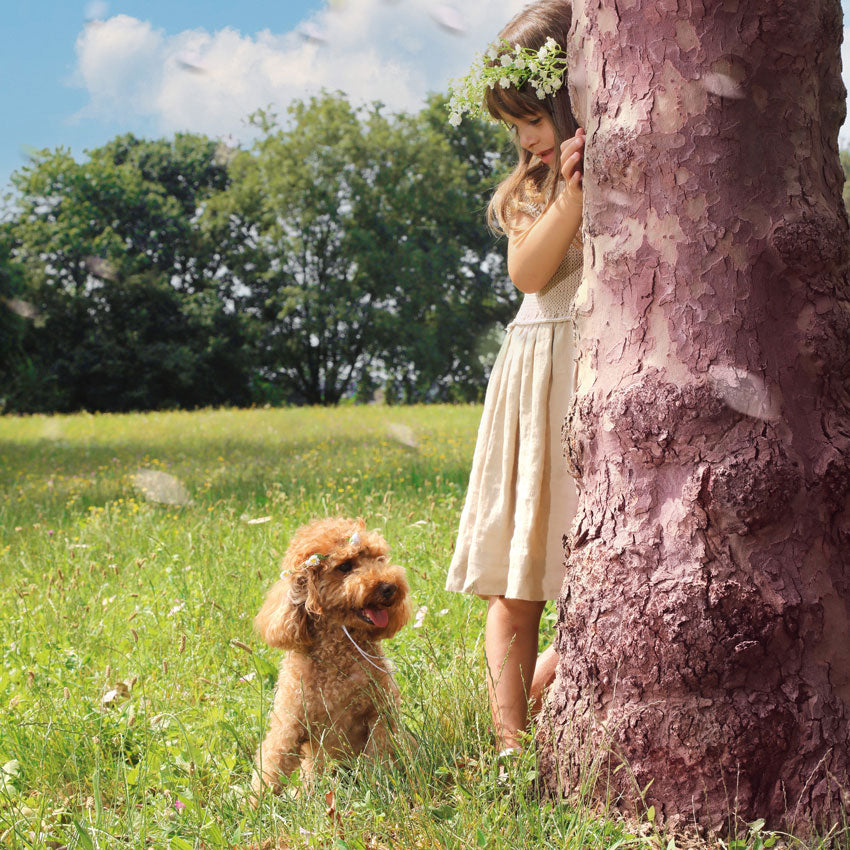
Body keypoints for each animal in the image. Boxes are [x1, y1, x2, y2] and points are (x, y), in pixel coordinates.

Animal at [250, 516, 410, 796]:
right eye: (344, 566)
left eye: (379, 559)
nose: (389, 587)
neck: (338, 654)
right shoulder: (289, 723)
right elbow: (272, 763)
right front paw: (255, 803)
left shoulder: (380, 714)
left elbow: (378, 756)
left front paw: (379, 785)